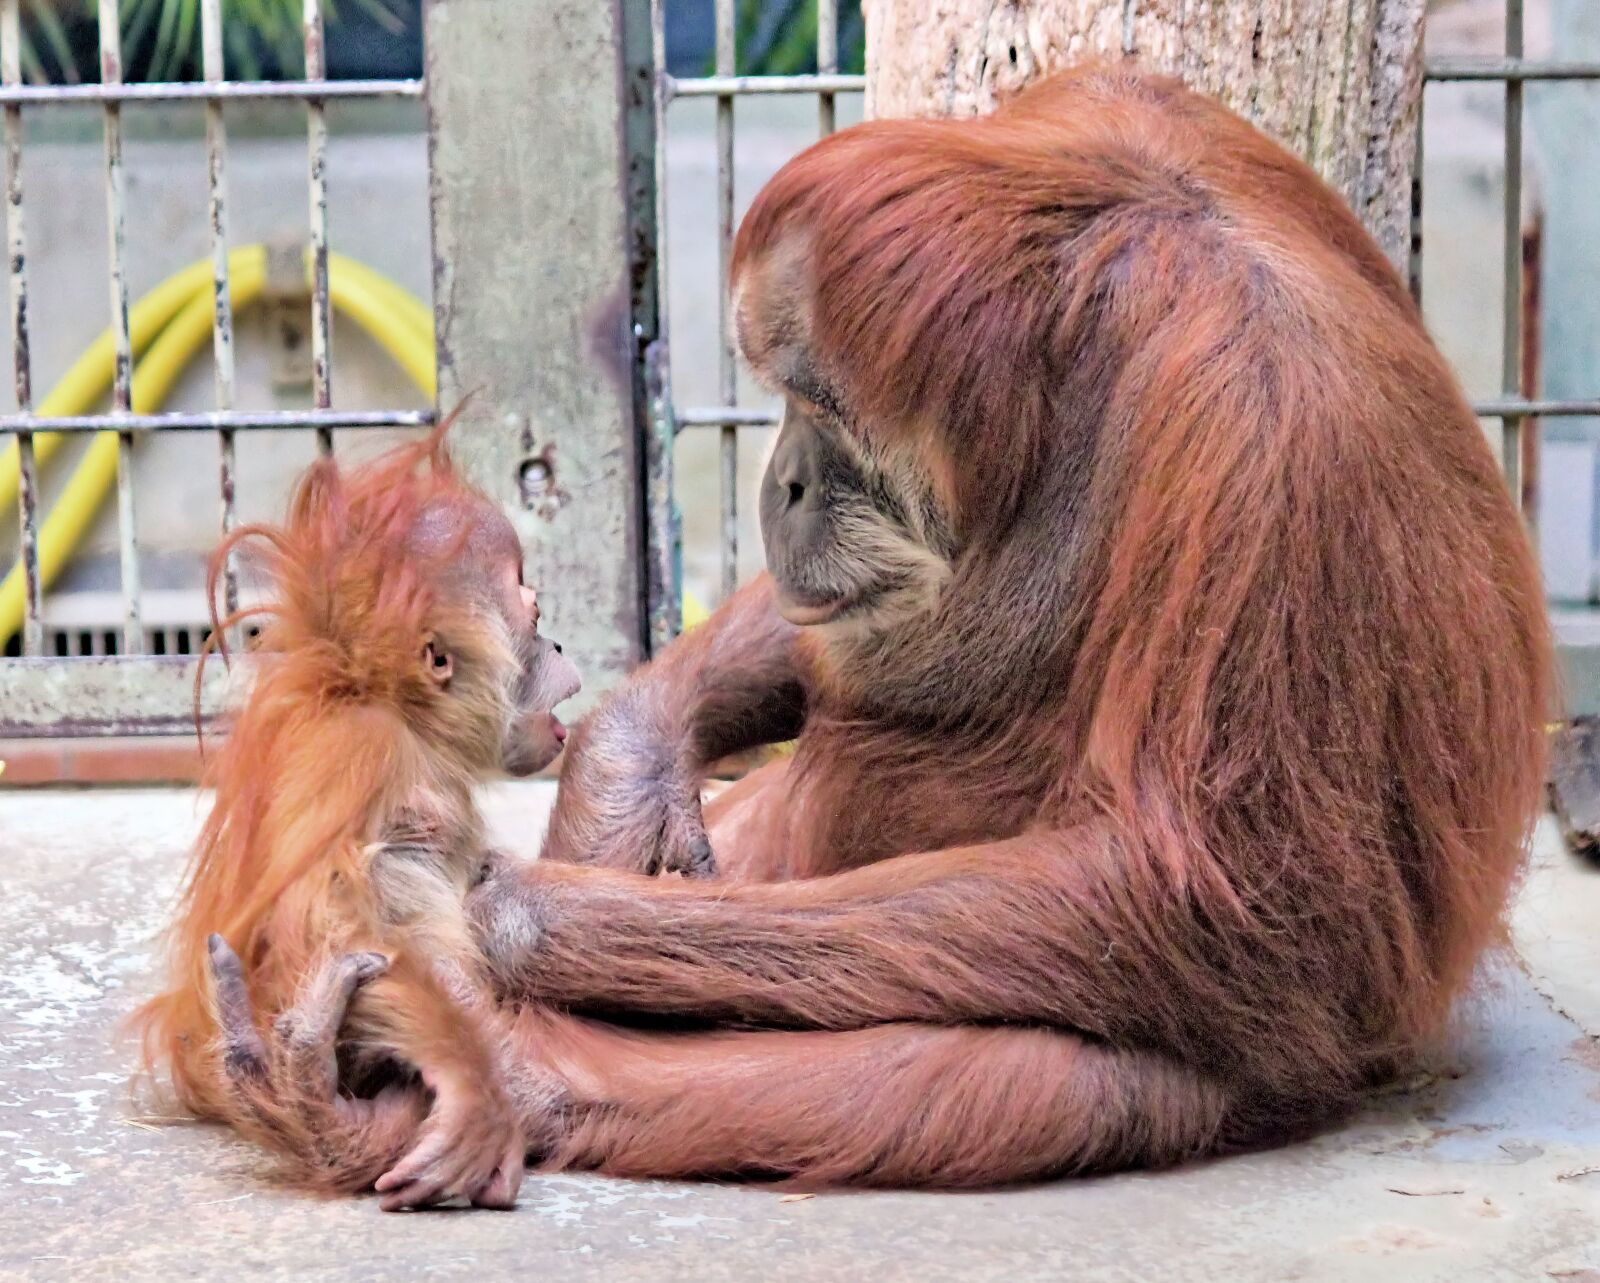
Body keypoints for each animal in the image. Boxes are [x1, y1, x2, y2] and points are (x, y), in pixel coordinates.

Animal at [133, 428, 580, 1210]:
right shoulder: (365, 751)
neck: (388, 701)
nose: (555, 645)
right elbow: (328, 914)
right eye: (534, 618)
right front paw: (477, 1086)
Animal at [206, 64, 1553, 1191]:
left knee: (1068, 1071)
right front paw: (622, 778)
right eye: (783, 395)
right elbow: (804, 639)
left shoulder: (1261, 432)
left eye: (821, 403)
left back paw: (497, 1077)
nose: (786, 478)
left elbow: (1215, 891)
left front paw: (544, 911)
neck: (1092, 335)